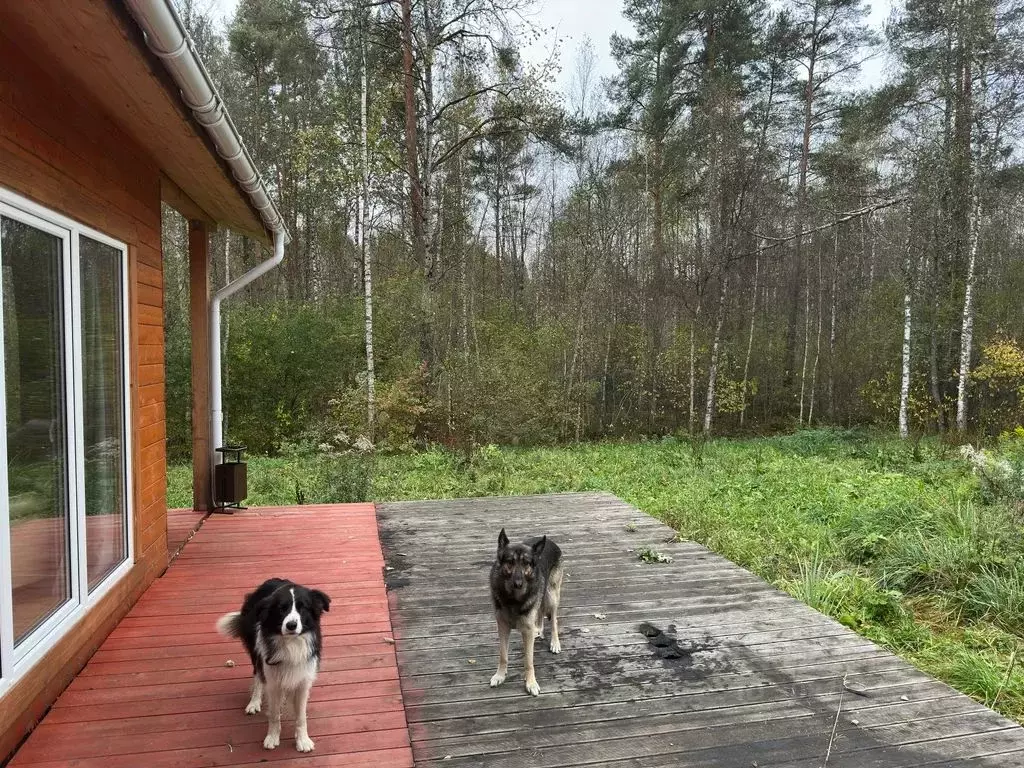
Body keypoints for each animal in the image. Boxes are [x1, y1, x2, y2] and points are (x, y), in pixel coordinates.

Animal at [216, 581, 331, 753]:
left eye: (303, 607)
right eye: (281, 608)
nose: (291, 625)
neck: (291, 644)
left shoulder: (302, 681)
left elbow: (301, 716)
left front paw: (303, 740)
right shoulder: (273, 680)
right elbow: (274, 714)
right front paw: (272, 737)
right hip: (257, 653)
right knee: (257, 676)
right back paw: (254, 702)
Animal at [485, 528, 561, 696]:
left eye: (526, 563)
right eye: (510, 562)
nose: (518, 584)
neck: (513, 599)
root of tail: (550, 542)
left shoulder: (526, 630)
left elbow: (528, 661)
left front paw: (531, 683)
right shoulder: (502, 627)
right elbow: (503, 656)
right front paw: (500, 676)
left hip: (551, 596)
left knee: (554, 621)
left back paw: (555, 643)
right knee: (540, 611)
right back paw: (539, 630)